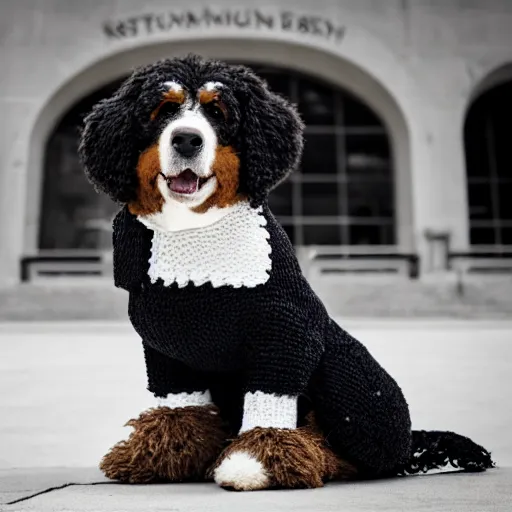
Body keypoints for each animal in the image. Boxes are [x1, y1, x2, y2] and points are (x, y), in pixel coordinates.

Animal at [78, 54, 494, 490]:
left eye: (217, 112)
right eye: (162, 110)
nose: (187, 139)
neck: (191, 234)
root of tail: (411, 441)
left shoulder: (285, 333)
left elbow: (269, 403)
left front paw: (253, 462)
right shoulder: (166, 352)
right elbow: (181, 410)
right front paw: (161, 454)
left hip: (349, 381)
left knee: (359, 455)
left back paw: (320, 457)